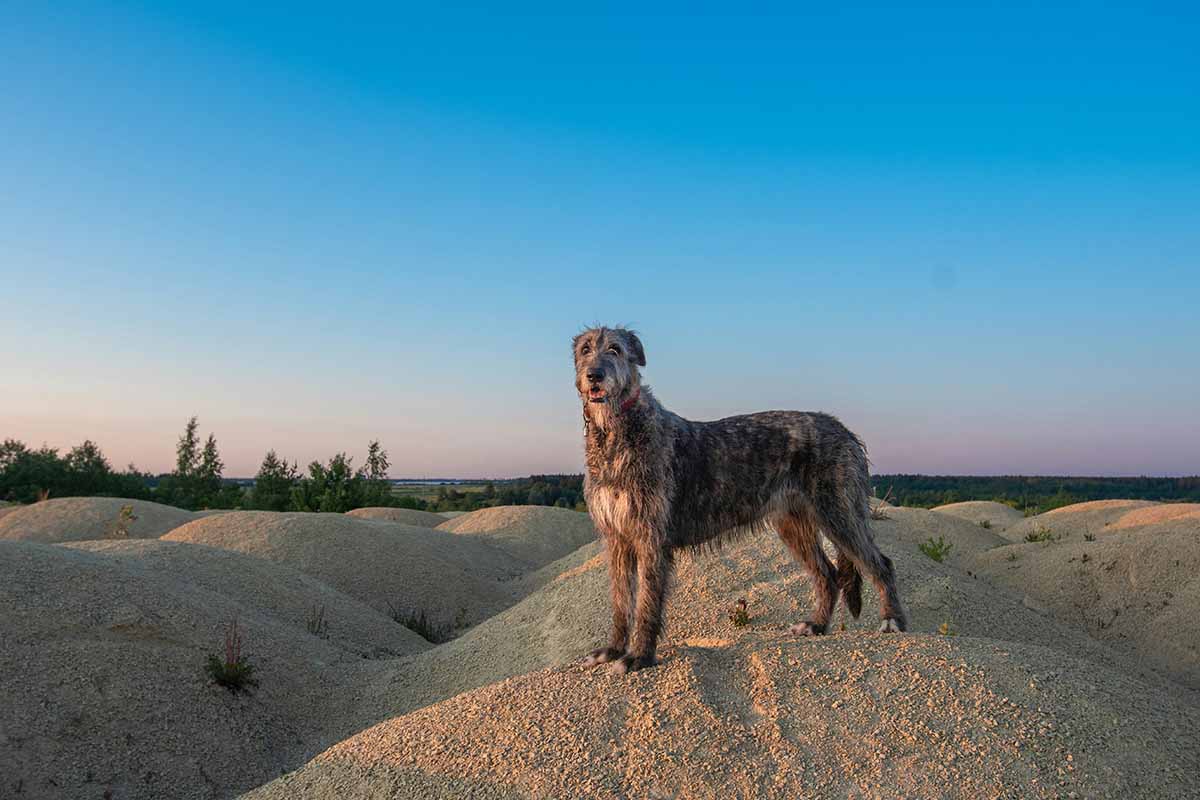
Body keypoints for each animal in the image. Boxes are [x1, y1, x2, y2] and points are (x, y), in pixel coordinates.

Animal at [576, 326, 902, 676]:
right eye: (585, 350)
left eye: (615, 349)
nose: (594, 375)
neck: (616, 432)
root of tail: (844, 430)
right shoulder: (617, 538)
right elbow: (621, 601)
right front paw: (613, 649)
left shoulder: (651, 537)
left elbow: (647, 602)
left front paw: (639, 656)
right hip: (793, 524)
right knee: (826, 573)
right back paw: (815, 625)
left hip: (838, 511)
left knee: (880, 563)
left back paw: (892, 621)